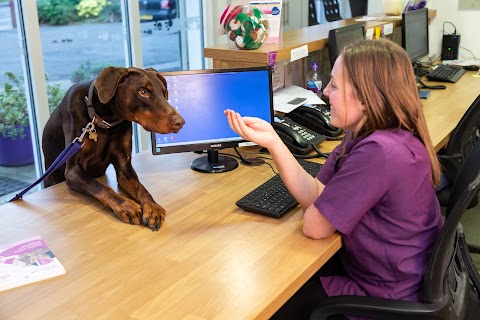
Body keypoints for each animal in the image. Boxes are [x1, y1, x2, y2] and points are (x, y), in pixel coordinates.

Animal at [42, 67, 185, 230]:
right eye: (143, 92)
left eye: (164, 92)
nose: (180, 122)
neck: (106, 121)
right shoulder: (73, 171)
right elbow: (99, 186)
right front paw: (127, 205)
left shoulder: (123, 164)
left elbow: (141, 188)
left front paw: (153, 207)